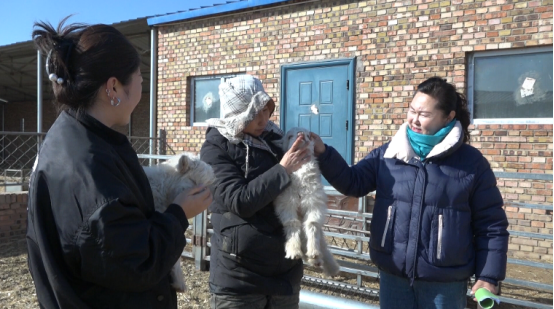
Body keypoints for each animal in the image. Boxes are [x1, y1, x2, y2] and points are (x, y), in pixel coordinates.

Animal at [274, 126, 338, 276]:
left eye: (309, 135)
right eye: (289, 136)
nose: (301, 135)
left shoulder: (313, 202)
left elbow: (312, 224)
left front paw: (314, 251)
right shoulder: (287, 202)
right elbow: (292, 223)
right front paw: (293, 251)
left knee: (321, 246)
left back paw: (322, 262)